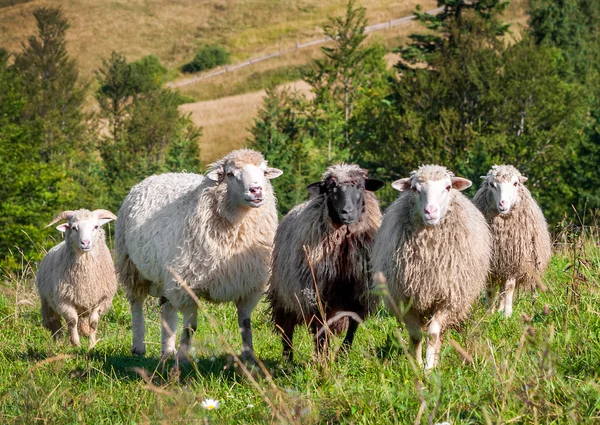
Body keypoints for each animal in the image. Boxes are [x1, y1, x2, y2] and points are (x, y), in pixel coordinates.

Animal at [37, 208, 119, 344]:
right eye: (74, 227)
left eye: (96, 226)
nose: (85, 243)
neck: (85, 275)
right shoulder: (64, 300)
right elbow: (72, 321)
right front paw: (76, 344)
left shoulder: (103, 299)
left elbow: (93, 322)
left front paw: (92, 344)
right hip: (47, 302)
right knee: (55, 324)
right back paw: (58, 343)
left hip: (83, 304)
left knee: (83, 321)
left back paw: (84, 333)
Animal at [116, 148, 284, 362]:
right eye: (230, 174)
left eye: (263, 172)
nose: (256, 190)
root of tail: (156, 176)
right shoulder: (187, 285)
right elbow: (190, 327)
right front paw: (182, 359)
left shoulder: (248, 285)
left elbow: (245, 325)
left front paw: (249, 358)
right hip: (131, 265)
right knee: (137, 304)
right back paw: (139, 346)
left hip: (167, 274)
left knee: (167, 310)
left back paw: (167, 350)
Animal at [268, 164, 384, 360]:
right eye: (330, 189)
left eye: (360, 186)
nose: (347, 212)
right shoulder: (317, 296)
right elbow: (320, 331)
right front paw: (323, 358)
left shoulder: (360, 296)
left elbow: (352, 327)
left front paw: (343, 355)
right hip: (283, 295)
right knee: (286, 329)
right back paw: (287, 359)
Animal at [370, 164, 492, 370]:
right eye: (415, 189)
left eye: (448, 187)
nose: (431, 211)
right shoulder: (405, 299)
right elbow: (415, 335)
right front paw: (415, 365)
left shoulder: (447, 298)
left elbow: (433, 334)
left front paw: (429, 368)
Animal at [474, 164, 552, 316]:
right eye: (491, 184)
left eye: (515, 183)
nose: (503, 204)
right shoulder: (491, 264)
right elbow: (490, 290)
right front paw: (489, 313)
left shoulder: (513, 261)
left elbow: (509, 288)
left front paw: (507, 314)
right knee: (499, 288)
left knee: (507, 289)